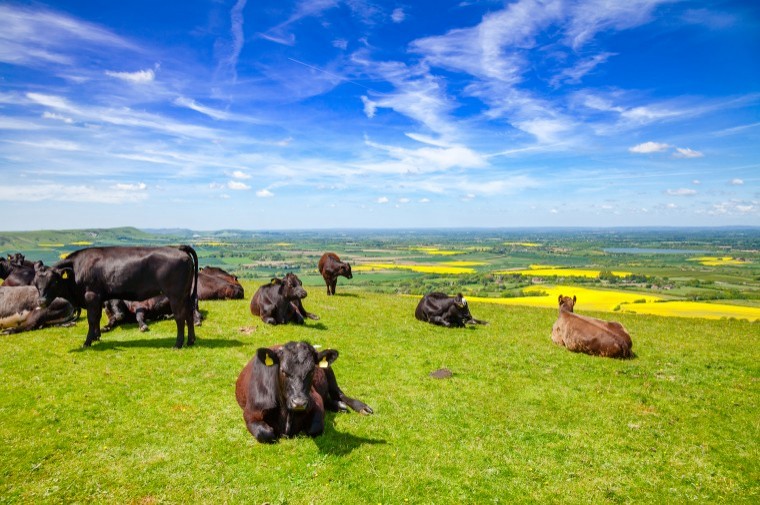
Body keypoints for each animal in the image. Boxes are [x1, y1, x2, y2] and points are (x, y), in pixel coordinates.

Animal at [32, 246, 199, 348]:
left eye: (54, 281)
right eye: (35, 283)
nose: (41, 301)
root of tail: (178, 248)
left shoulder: (91, 295)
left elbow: (91, 319)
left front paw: (87, 341)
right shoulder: (99, 298)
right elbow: (98, 318)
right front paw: (96, 336)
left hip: (175, 295)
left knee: (180, 317)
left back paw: (178, 344)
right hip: (185, 295)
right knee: (189, 315)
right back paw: (190, 341)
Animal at [233, 340, 372, 442]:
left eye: (311, 370)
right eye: (283, 370)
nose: (299, 403)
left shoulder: (315, 400)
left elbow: (314, 428)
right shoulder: (251, 412)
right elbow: (265, 434)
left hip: (329, 372)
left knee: (339, 393)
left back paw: (361, 407)